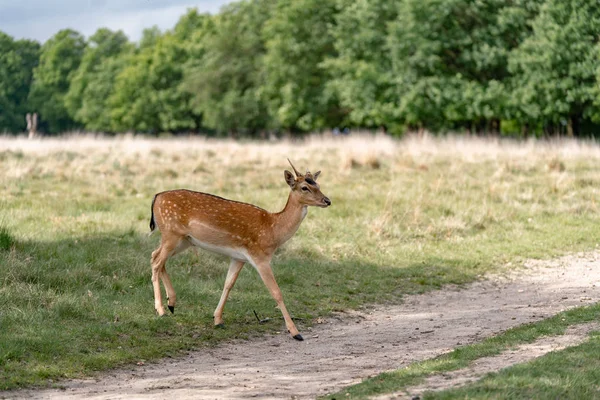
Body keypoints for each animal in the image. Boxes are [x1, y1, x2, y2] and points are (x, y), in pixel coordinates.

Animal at [148, 159, 330, 340]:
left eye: (318, 185)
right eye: (304, 187)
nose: (327, 200)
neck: (273, 230)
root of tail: (156, 197)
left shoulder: (239, 257)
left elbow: (228, 284)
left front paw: (218, 320)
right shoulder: (260, 257)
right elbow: (276, 292)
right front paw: (295, 332)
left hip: (183, 240)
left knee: (154, 255)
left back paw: (171, 303)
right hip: (171, 233)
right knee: (156, 262)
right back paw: (161, 309)